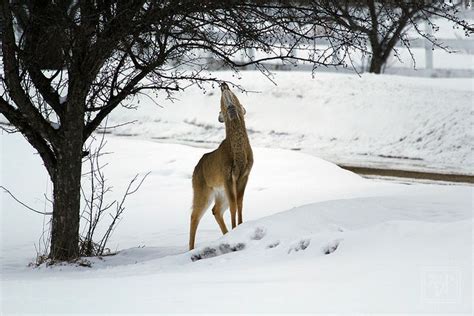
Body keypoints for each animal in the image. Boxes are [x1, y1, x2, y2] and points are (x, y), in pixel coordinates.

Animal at [190, 82, 254, 251]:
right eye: (220, 102)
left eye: (235, 94)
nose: (223, 84)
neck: (238, 156)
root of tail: (195, 169)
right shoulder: (227, 175)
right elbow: (234, 205)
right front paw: (235, 228)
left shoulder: (245, 175)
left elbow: (240, 203)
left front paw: (239, 226)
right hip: (202, 189)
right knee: (194, 215)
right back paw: (190, 248)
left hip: (219, 192)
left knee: (216, 210)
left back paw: (225, 234)